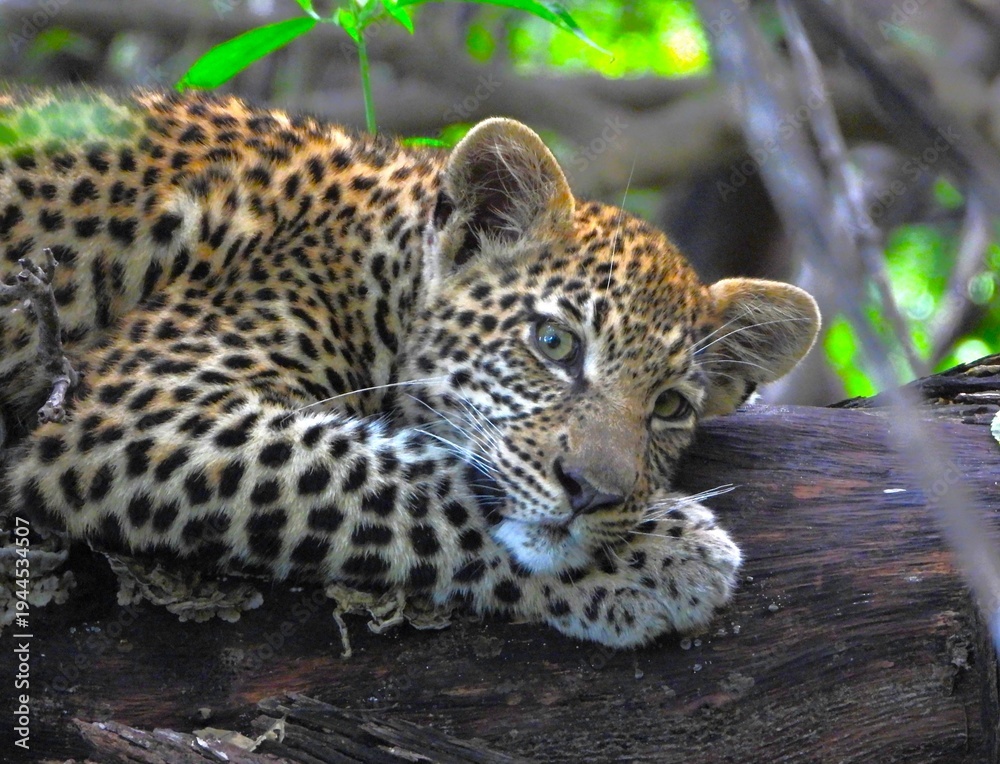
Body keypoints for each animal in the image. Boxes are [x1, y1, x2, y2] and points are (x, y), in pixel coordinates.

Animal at [0, 88, 819, 648]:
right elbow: (405, 481)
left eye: (672, 407)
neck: (378, 260)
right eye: (554, 344)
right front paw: (660, 554)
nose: (593, 494)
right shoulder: (139, 406)